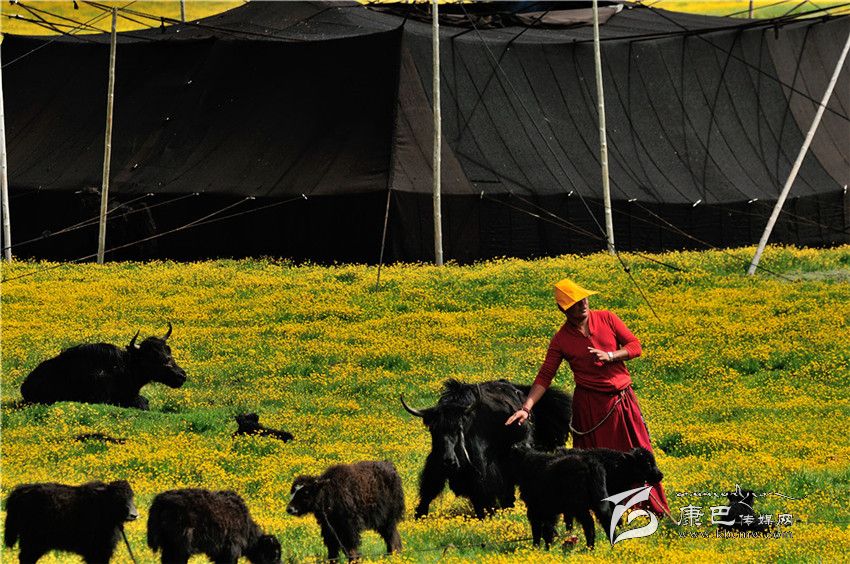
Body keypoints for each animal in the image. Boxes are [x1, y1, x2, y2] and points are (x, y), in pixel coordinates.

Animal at [4, 480, 137, 564]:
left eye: (132, 496)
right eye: (117, 497)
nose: (134, 515)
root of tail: (19, 491)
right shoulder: (97, 551)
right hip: (32, 542)